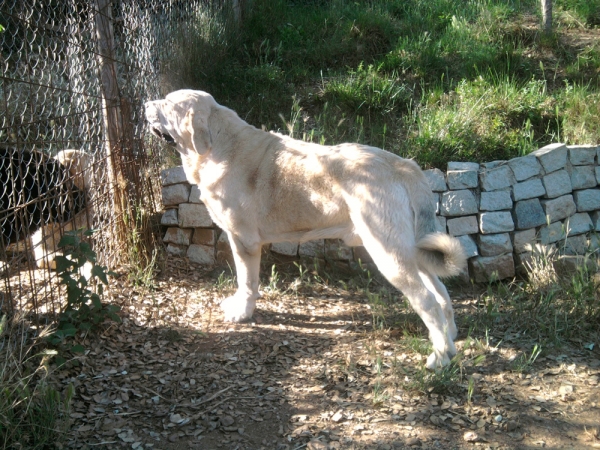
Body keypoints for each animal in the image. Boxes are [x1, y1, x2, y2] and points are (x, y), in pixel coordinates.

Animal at [144, 89, 464, 368]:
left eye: (168, 103)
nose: (146, 104)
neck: (218, 146)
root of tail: (404, 166)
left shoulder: (243, 241)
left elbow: (246, 282)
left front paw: (243, 312)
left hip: (389, 254)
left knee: (428, 302)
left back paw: (439, 357)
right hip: (413, 252)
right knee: (442, 295)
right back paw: (450, 341)